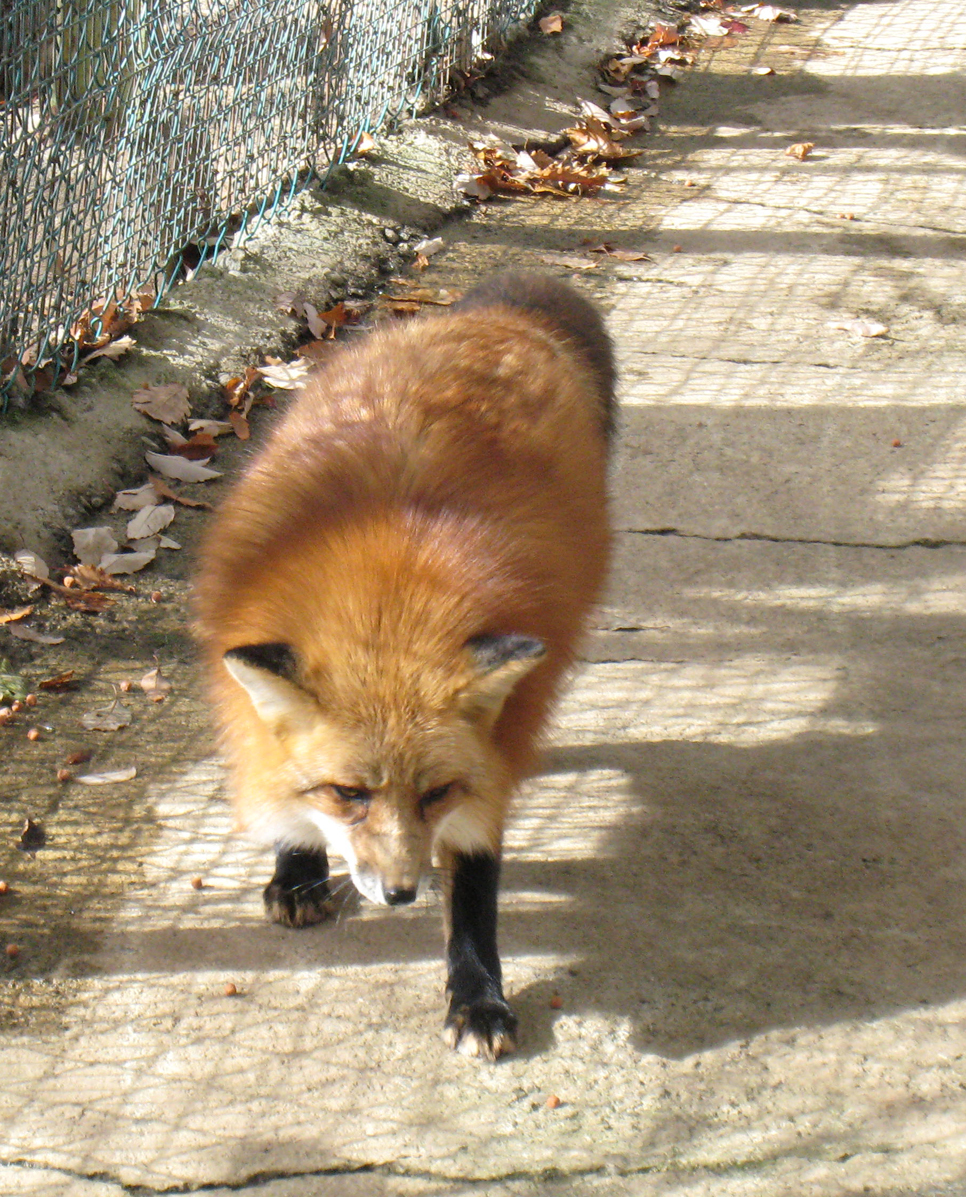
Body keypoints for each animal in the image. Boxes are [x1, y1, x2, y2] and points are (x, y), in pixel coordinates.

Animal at [193, 271, 615, 1059]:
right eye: (346, 793)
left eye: (436, 793)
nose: (399, 894)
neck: (383, 603)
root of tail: (498, 317)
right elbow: (284, 786)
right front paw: (298, 865)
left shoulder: (488, 765)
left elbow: (475, 885)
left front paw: (478, 994)